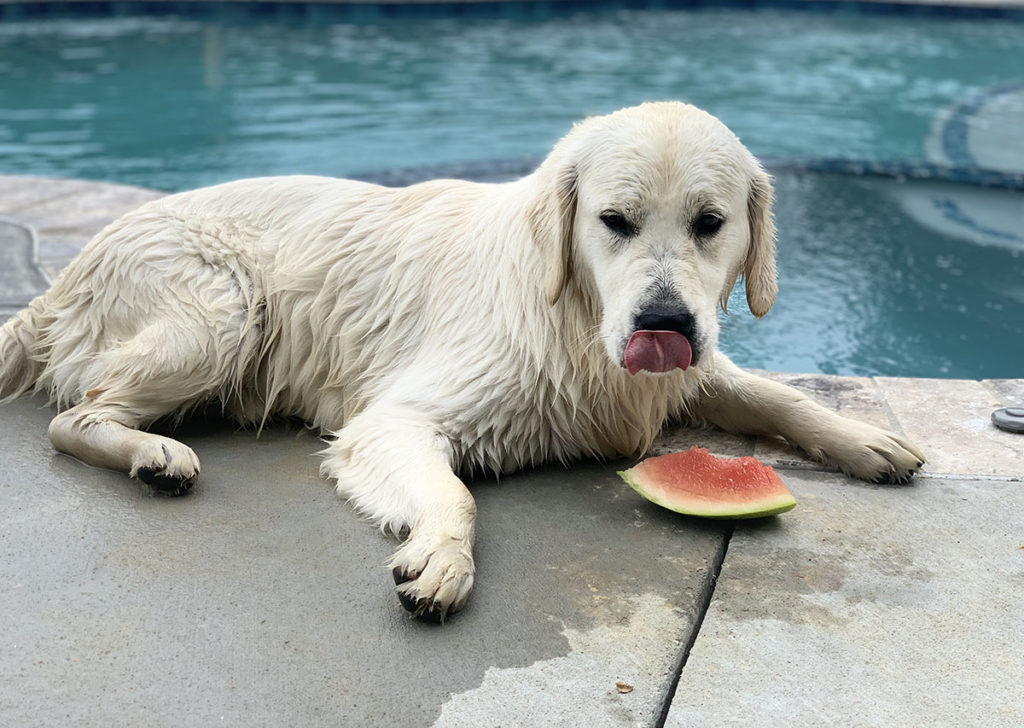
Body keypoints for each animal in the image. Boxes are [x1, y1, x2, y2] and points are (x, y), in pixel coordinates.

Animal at [0, 103, 929, 622]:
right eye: (615, 221)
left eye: (710, 223)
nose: (664, 321)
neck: (576, 319)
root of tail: (67, 275)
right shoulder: (394, 420)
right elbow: (453, 494)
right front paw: (442, 558)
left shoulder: (686, 373)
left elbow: (776, 396)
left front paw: (864, 441)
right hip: (224, 309)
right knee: (72, 415)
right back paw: (154, 454)